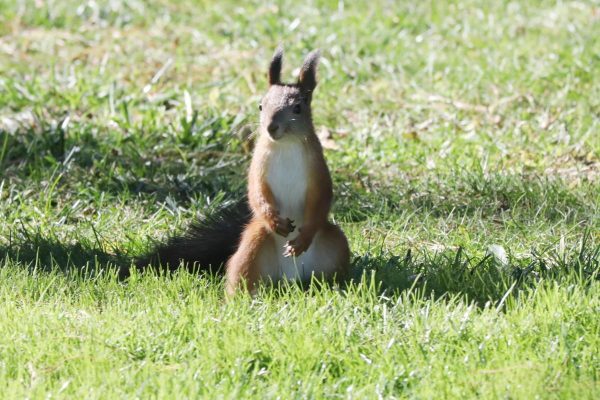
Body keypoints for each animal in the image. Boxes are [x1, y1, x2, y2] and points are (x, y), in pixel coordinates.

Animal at [128, 48, 350, 296]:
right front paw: (274, 220)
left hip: (336, 245)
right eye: (261, 106)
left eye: (298, 108)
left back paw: (335, 286)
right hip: (254, 244)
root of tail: (291, 278)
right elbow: (256, 193)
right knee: (243, 269)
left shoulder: (318, 170)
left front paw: (304, 238)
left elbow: (321, 200)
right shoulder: (257, 167)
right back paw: (241, 298)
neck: (285, 146)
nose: (271, 127)